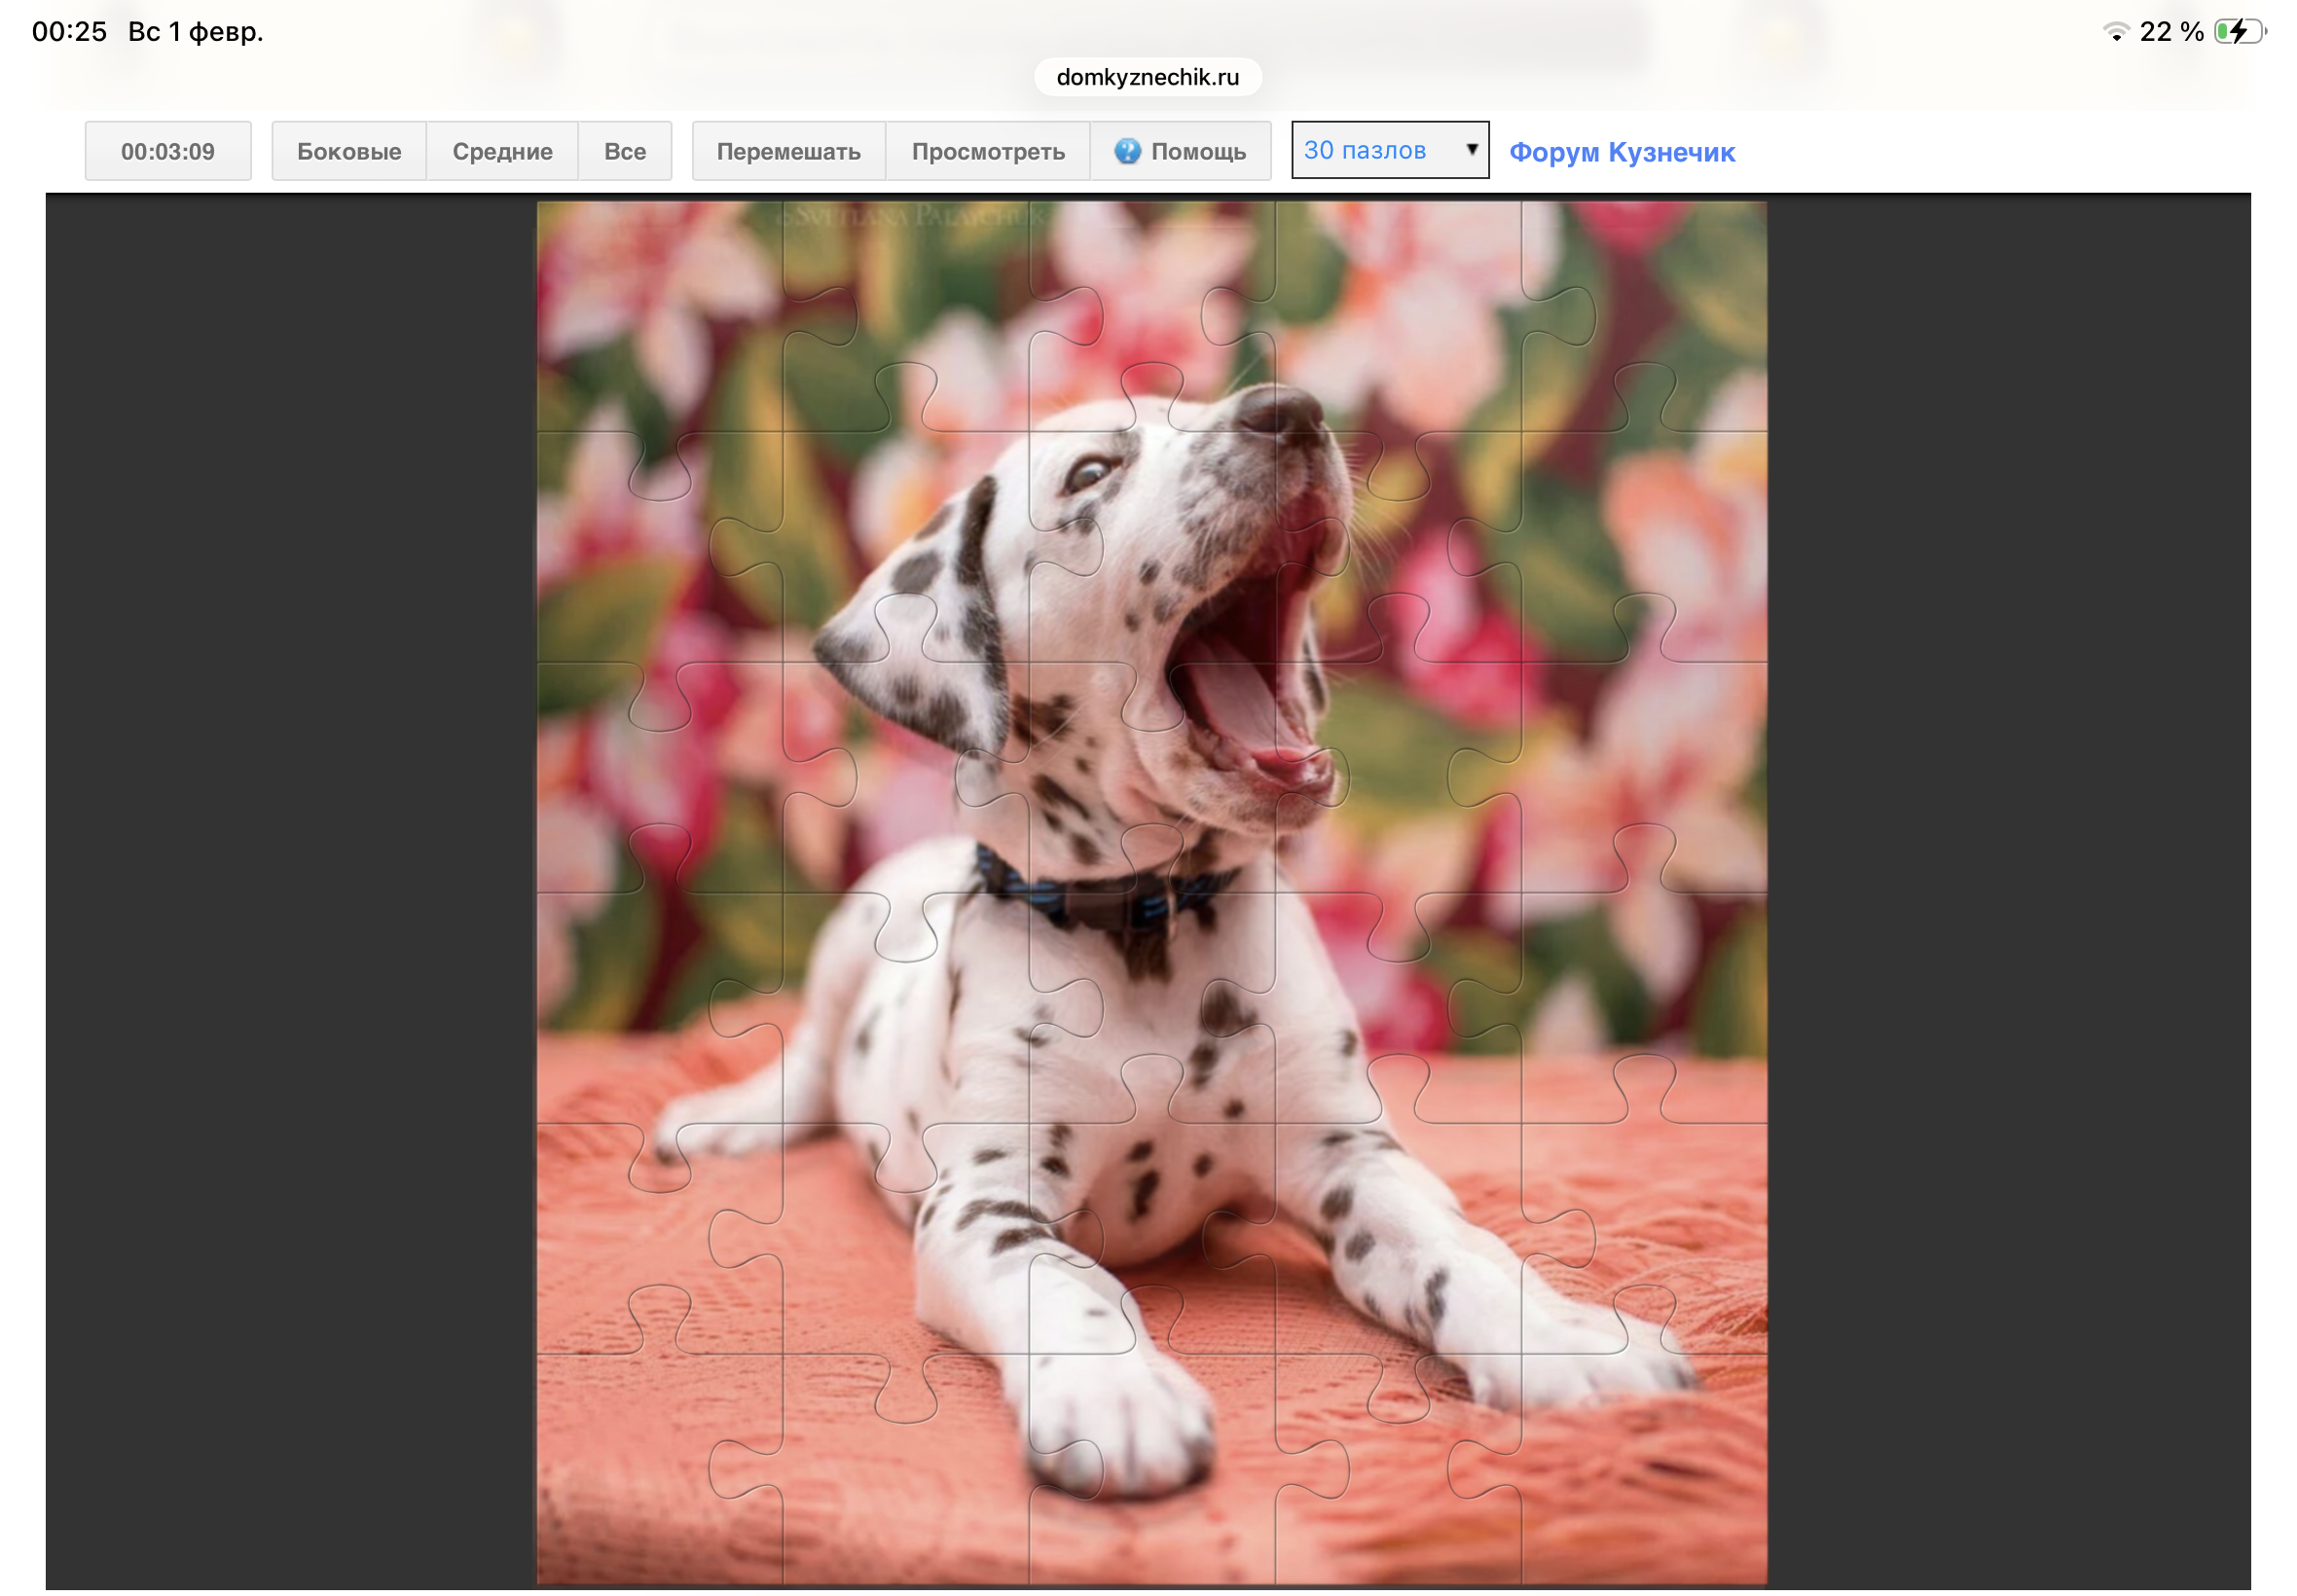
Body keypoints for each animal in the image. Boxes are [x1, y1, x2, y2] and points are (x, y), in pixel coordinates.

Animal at [655, 383, 1694, 1499]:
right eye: (1091, 472)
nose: (1291, 410)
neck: (1149, 920)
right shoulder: (982, 1202)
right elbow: (1061, 1279)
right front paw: (1113, 1391)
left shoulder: (1351, 1156)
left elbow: (1463, 1246)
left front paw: (1563, 1334)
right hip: (854, 925)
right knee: (809, 1057)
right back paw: (727, 1119)